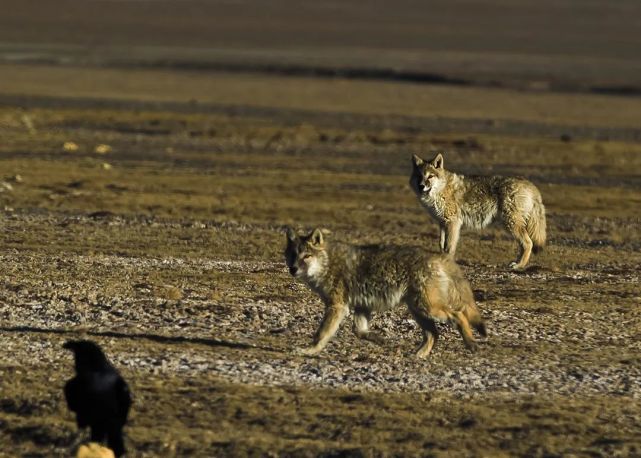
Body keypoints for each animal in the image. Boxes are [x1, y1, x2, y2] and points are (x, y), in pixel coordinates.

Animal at [284, 227, 484, 360]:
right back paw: (418, 355)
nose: (293, 269)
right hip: (418, 311)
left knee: (458, 316)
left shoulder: (337, 307)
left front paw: (309, 351)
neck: (327, 264)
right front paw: (380, 340)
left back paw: (471, 344)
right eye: (292, 255)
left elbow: (321, 334)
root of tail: (440, 256)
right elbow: (359, 331)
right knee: (433, 334)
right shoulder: (362, 306)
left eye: (306, 256)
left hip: (428, 308)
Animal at [410, 152, 544, 270]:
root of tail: (530, 184)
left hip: (511, 224)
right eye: (419, 176)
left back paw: (519, 266)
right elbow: (441, 244)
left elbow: (449, 247)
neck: (441, 190)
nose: (421, 186)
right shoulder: (442, 222)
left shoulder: (453, 223)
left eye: (430, 176)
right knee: (524, 245)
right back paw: (517, 262)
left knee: (528, 243)